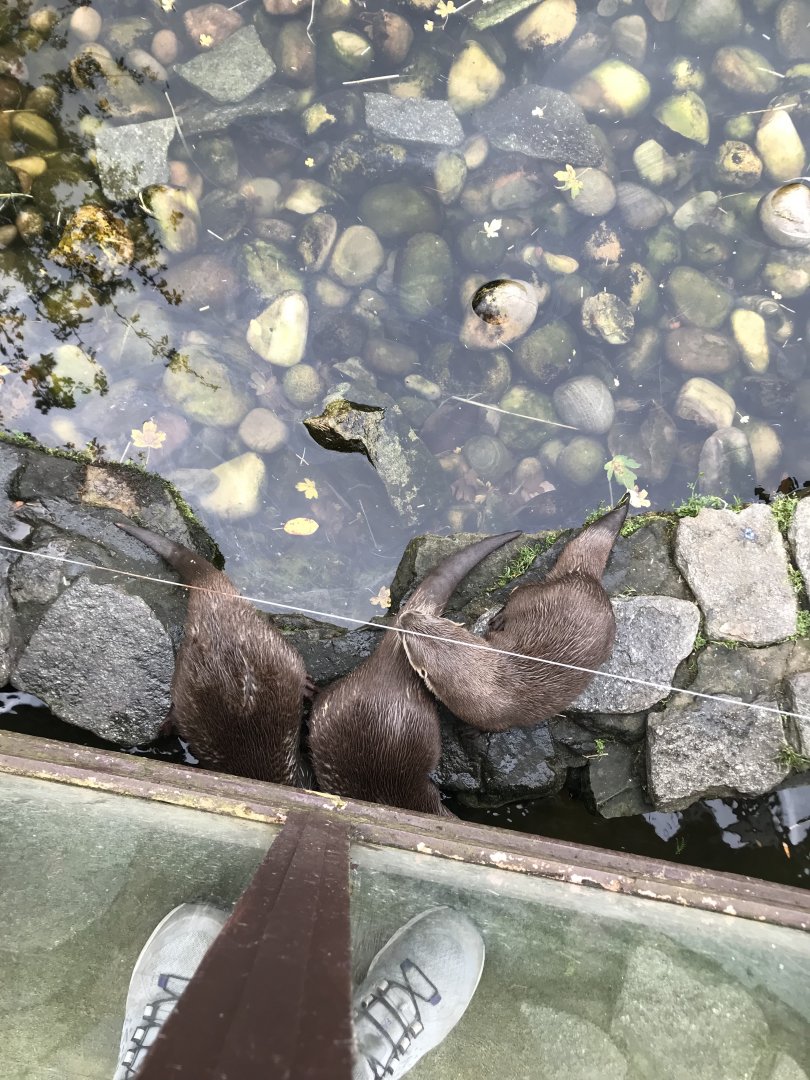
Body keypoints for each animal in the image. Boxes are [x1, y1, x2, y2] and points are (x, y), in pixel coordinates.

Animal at [398, 500, 629, 733]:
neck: (499, 683)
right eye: (430, 618)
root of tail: (583, 577)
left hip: (539, 595)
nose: (405, 617)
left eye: (407, 641)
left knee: (518, 591)